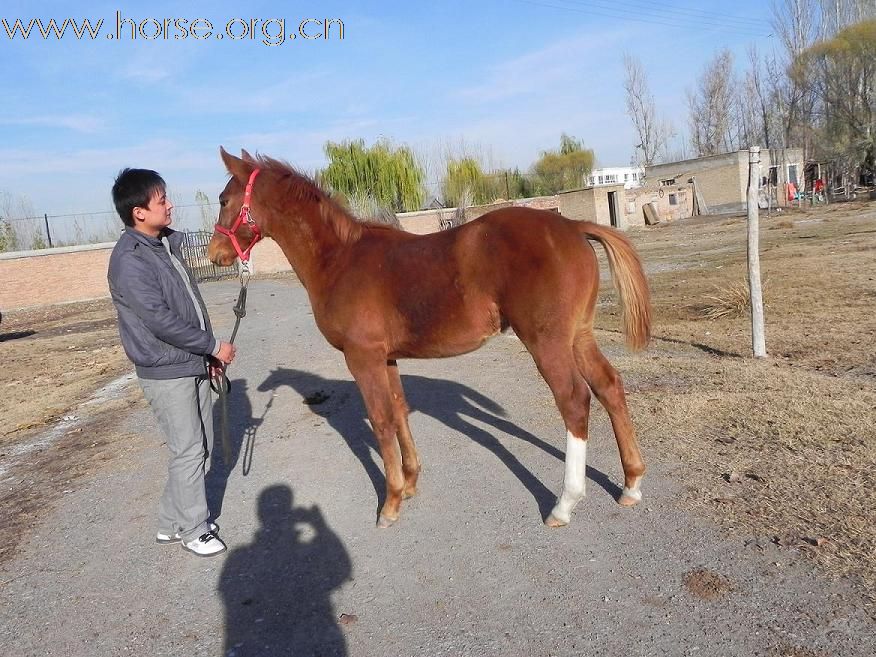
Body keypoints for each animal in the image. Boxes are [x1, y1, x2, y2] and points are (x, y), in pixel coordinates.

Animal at [209, 149, 652, 528]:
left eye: (223, 199)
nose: (215, 255)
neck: (339, 260)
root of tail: (572, 225)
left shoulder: (362, 358)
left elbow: (381, 421)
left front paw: (389, 504)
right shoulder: (387, 358)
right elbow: (399, 412)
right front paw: (410, 483)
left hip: (547, 342)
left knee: (574, 401)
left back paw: (564, 504)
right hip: (579, 336)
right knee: (610, 387)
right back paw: (630, 485)